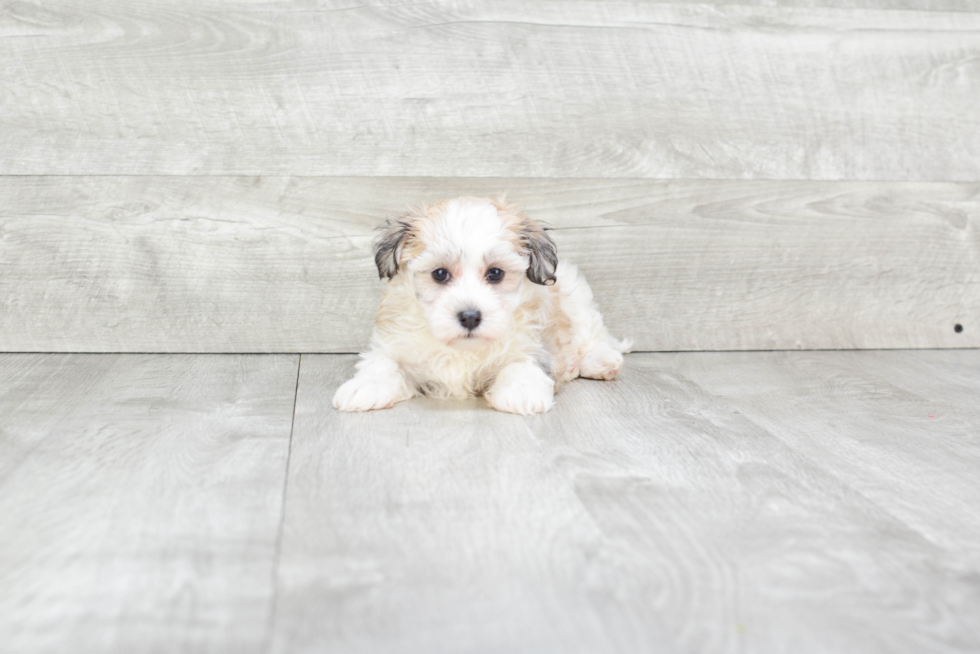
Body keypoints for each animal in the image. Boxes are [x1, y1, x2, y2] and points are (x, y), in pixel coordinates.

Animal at [334, 197, 632, 418]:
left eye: (496, 274)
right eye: (440, 274)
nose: (469, 316)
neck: (462, 349)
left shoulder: (535, 343)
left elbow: (522, 362)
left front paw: (521, 391)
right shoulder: (395, 342)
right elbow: (381, 363)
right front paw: (362, 388)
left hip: (576, 298)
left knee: (593, 335)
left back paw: (600, 361)